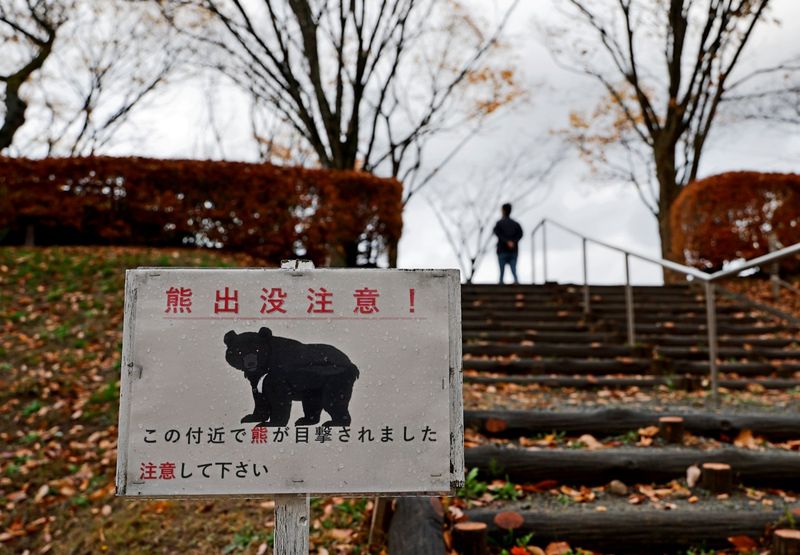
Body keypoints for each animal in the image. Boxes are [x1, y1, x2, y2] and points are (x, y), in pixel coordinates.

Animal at [223, 327, 359, 427]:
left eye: (257, 350)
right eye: (239, 351)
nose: (251, 363)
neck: (266, 366)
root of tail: (352, 364)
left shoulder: (278, 375)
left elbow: (279, 398)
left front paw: (270, 424)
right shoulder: (257, 380)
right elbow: (260, 396)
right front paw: (250, 418)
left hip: (335, 379)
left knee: (333, 400)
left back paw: (334, 423)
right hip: (314, 385)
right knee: (312, 402)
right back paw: (305, 420)